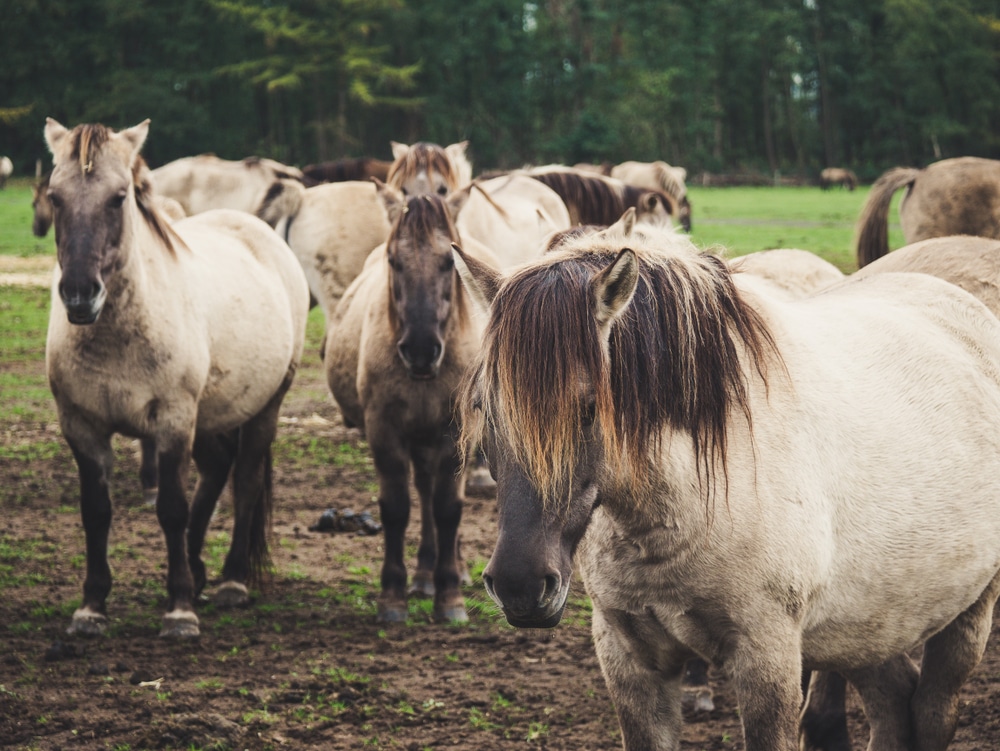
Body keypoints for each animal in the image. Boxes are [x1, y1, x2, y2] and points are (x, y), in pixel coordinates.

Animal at [322, 181, 494, 624]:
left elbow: (448, 508)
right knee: (423, 491)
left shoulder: (453, 436)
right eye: (393, 261)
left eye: (448, 263)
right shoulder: (385, 432)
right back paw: (423, 575)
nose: (419, 349)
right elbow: (397, 508)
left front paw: (450, 596)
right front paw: (394, 595)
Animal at [456, 216, 1000, 751]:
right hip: (868, 623)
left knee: (932, 711)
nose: (520, 584)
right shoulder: (630, 661)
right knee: (893, 703)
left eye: (590, 408)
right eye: (484, 406)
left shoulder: (768, 659)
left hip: (967, 614)